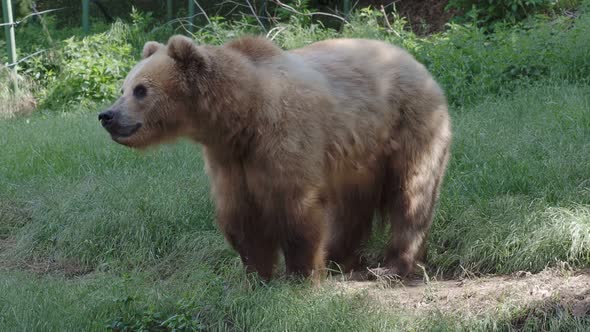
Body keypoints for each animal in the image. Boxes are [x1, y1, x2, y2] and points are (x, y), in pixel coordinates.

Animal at [100, 34, 454, 282]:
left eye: (141, 90)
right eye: (123, 88)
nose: (107, 116)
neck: (242, 115)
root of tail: (418, 63)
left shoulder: (283, 136)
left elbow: (295, 207)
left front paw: (300, 274)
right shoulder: (230, 159)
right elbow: (241, 216)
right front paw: (256, 275)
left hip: (408, 128)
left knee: (412, 194)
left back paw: (392, 266)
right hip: (358, 158)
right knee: (352, 207)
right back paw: (338, 257)